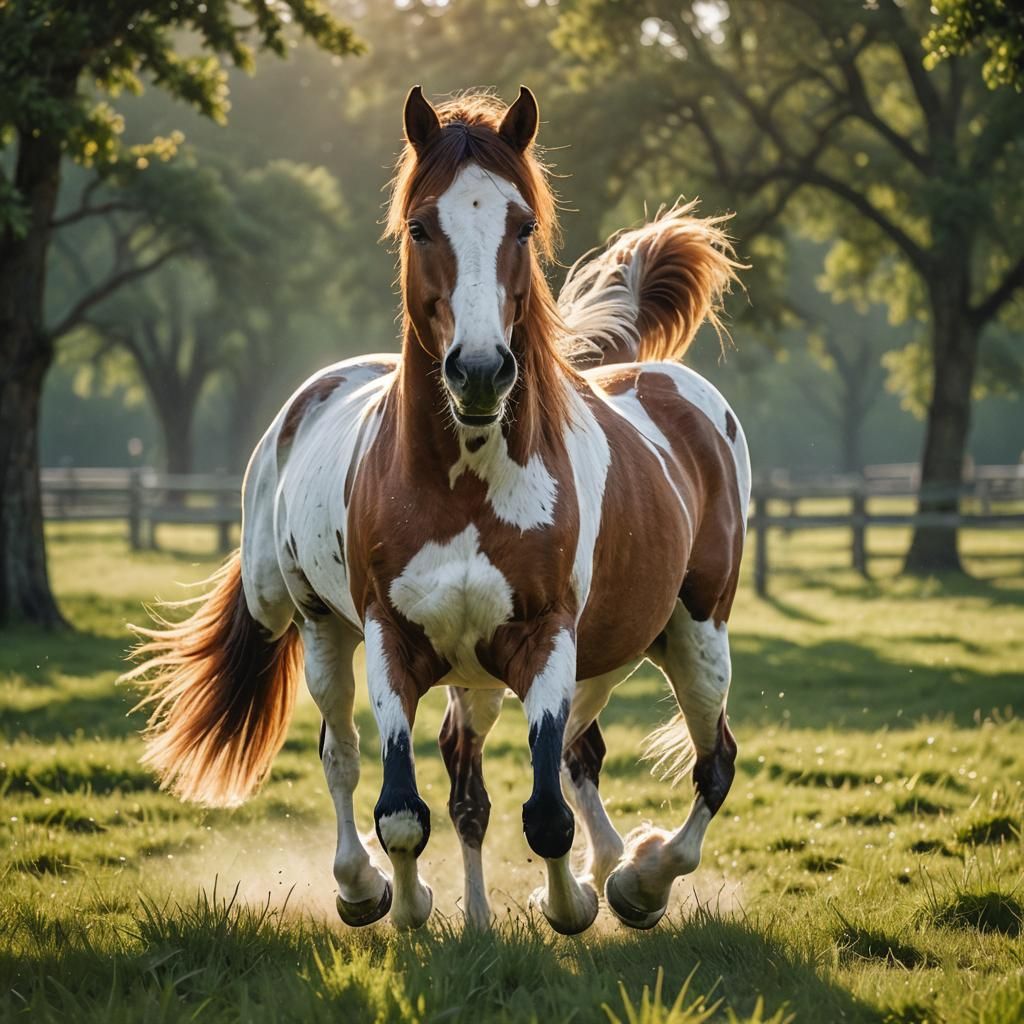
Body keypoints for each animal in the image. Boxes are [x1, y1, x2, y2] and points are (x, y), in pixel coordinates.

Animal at [126, 85, 750, 936]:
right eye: (422, 225)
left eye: (523, 225)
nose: (481, 372)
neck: (464, 485)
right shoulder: (392, 641)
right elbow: (401, 810)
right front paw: (411, 903)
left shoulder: (548, 640)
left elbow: (545, 811)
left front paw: (576, 902)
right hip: (322, 629)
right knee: (352, 757)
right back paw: (372, 889)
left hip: (684, 634)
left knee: (702, 762)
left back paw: (634, 882)